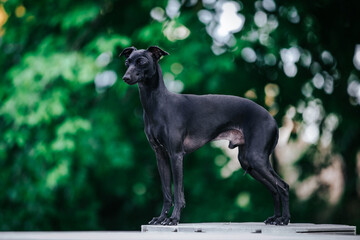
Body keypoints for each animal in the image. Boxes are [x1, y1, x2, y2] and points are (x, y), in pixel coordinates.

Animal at [119, 46, 292, 225]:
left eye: (142, 61)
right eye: (127, 62)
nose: (126, 77)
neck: (158, 104)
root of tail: (272, 119)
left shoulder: (176, 155)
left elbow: (178, 192)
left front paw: (174, 218)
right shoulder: (160, 156)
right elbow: (166, 192)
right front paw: (161, 218)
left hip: (256, 158)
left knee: (283, 186)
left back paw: (284, 219)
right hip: (248, 161)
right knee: (274, 189)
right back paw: (275, 218)